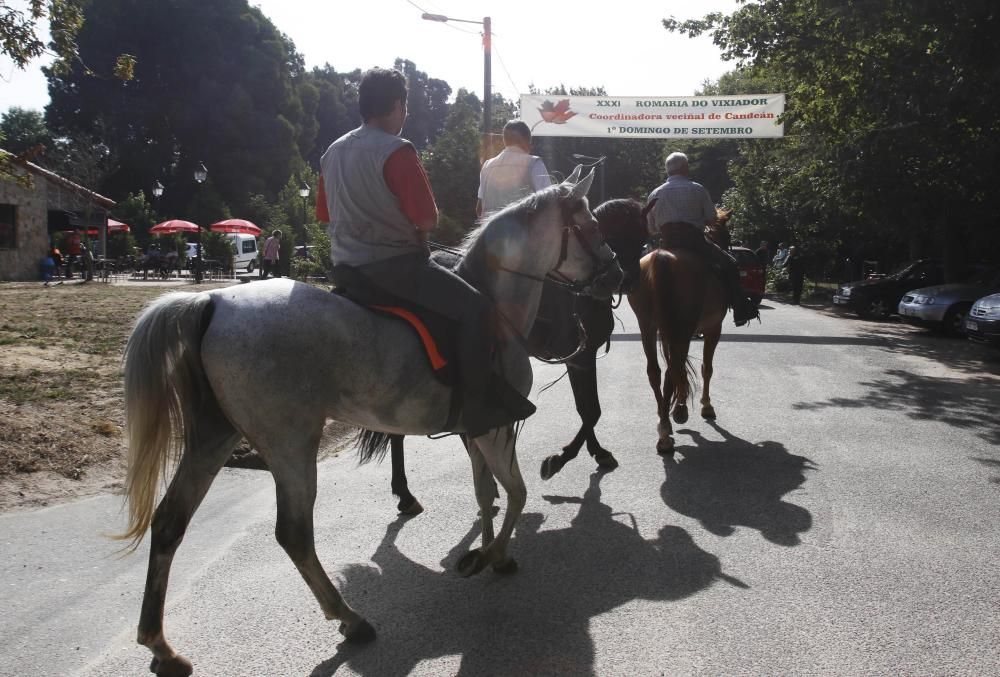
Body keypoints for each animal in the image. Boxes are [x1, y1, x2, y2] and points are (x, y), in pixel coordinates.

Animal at [115, 166, 616, 672]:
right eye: (593, 224)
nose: (615, 273)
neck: (495, 304)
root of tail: (214, 301)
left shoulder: (477, 429)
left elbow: (486, 493)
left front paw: (493, 551)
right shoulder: (496, 427)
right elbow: (515, 492)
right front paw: (487, 555)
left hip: (214, 437)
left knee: (171, 522)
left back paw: (161, 646)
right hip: (290, 444)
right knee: (294, 534)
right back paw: (350, 619)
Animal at [382, 198, 648, 516]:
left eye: (643, 237)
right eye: (618, 234)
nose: (625, 279)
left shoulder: (584, 358)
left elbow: (589, 409)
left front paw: (596, 452)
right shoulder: (579, 360)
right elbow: (590, 410)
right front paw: (557, 461)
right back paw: (406, 493)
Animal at [628, 209, 732, 456]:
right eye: (728, 236)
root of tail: (662, 258)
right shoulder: (713, 329)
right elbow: (706, 368)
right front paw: (704, 406)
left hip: (648, 326)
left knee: (656, 371)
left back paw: (663, 423)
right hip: (682, 329)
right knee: (672, 370)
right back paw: (669, 426)